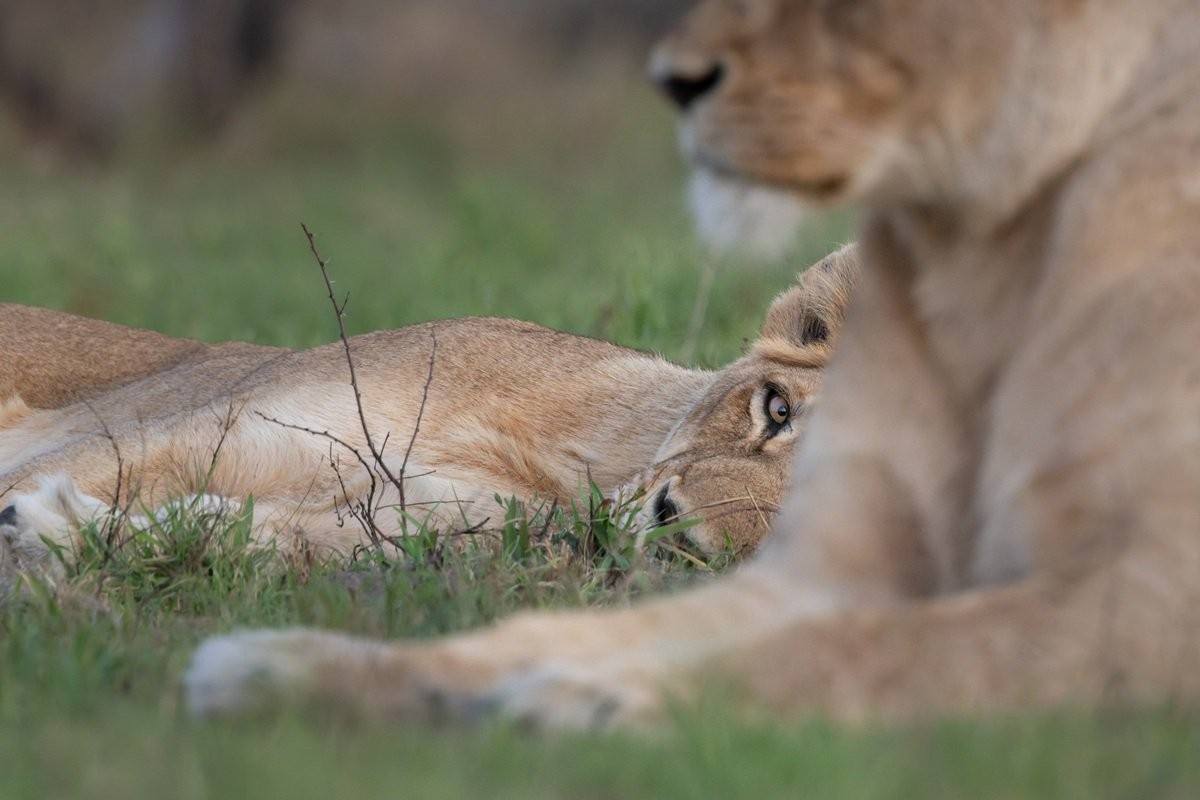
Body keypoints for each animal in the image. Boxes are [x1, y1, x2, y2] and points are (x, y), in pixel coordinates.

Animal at [0, 247, 856, 583]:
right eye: (776, 410)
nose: (674, 525)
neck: (560, 467)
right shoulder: (207, 429)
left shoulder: (379, 532)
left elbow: (217, 535)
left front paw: (54, 534)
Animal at [182, 0, 1200, 728]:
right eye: (775, 413)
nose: (672, 526)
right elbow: (543, 631)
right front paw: (276, 665)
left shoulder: (1131, 608)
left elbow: (861, 656)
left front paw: (592, 703)